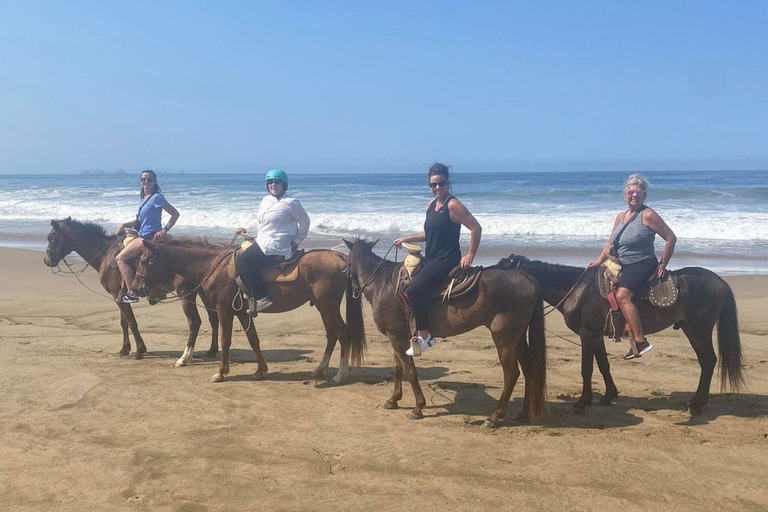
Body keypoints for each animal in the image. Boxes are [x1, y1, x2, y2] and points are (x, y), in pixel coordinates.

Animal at [42, 217, 219, 360]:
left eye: (51, 238)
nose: (46, 260)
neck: (105, 254)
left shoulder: (117, 296)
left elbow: (132, 322)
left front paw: (140, 350)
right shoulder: (118, 296)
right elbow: (124, 322)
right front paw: (124, 349)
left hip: (186, 294)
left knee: (195, 322)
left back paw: (186, 356)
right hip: (202, 292)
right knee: (213, 318)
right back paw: (212, 350)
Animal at [132, 238, 366, 382]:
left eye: (144, 260)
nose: (135, 287)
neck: (215, 267)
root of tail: (341, 257)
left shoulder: (224, 310)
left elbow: (226, 341)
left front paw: (221, 373)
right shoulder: (241, 313)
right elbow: (253, 339)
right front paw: (260, 370)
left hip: (328, 307)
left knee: (343, 334)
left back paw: (340, 375)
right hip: (322, 307)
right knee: (332, 335)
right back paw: (319, 369)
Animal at [342, 238, 544, 426]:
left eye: (348, 261)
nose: (350, 283)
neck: (382, 284)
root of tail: (525, 277)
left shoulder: (397, 338)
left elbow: (410, 371)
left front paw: (418, 407)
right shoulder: (398, 337)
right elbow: (397, 368)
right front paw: (393, 400)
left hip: (503, 338)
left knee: (511, 374)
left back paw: (494, 417)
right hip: (518, 338)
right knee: (529, 370)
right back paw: (524, 413)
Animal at [504, 255, 744, 416]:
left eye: (501, 268)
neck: (579, 290)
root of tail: (720, 282)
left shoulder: (587, 334)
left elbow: (586, 368)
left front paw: (583, 401)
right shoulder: (596, 335)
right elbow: (603, 365)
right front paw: (608, 395)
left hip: (699, 330)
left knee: (708, 361)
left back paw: (697, 404)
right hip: (690, 329)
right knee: (706, 362)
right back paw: (697, 401)